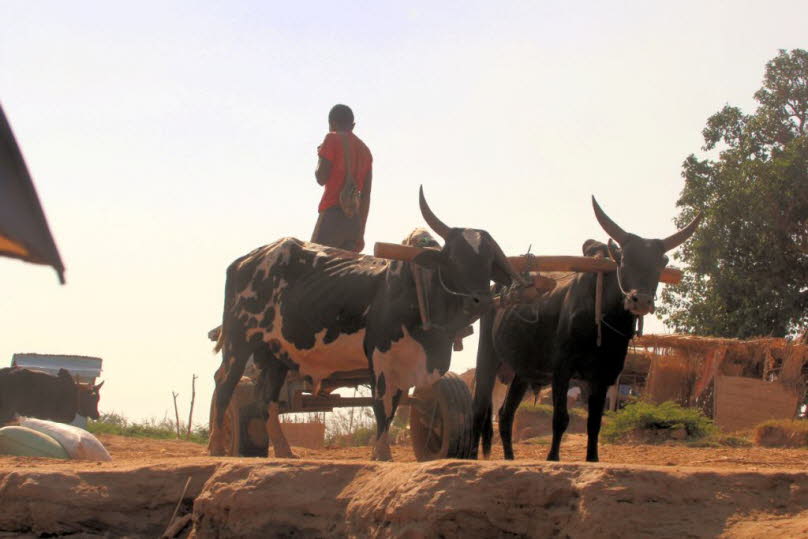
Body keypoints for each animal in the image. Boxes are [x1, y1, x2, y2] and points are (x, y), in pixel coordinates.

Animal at [208, 189, 528, 460]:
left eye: (489, 262)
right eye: (454, 258)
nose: (480, 301)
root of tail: (246, 260)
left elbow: (404, 404)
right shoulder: (380, 356)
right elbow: (382, 406)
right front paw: (382, 454)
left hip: (275, 356)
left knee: (267, 401)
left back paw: (285, 451)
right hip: (238, 342)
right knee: (224, 385)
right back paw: (217, 446)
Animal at [474, 198, 700, 464]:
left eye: (658, 265)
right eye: (624, 261)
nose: (640, 301)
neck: (604, 321)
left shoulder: (603, 375)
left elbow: (594, 424)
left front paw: (593, 458)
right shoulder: (562, 369)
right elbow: (561, 419)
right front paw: (553, 458)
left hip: (523, 372)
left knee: (505, 413)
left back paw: (509, 457)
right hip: (487, 357)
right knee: (479, 408)